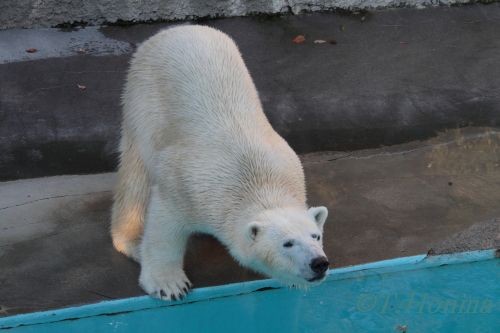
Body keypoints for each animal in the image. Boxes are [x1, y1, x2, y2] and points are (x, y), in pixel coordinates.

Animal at [110, 25, 328, 298]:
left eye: (315, 236)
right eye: (287, 243)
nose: (319, 263)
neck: (257, 179)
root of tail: (176, 29)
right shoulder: (187, 184)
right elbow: (165, 224)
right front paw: (169, 284)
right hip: (143, 101)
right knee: (136, 176)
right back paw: (131, 242)